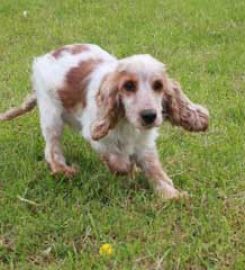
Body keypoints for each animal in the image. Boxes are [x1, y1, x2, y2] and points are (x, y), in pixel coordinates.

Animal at [0, 44, 209, 199]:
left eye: (158, 86)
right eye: (128, 86)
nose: (149, 115)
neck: (126, 121)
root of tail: (44, 57)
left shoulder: (144, 143)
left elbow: (153, 168)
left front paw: (170, 194)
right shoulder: (96, 135)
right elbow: (118, 160)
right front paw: (129, 170)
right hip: (51, 113)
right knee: (52, 147)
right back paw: (63, 170)